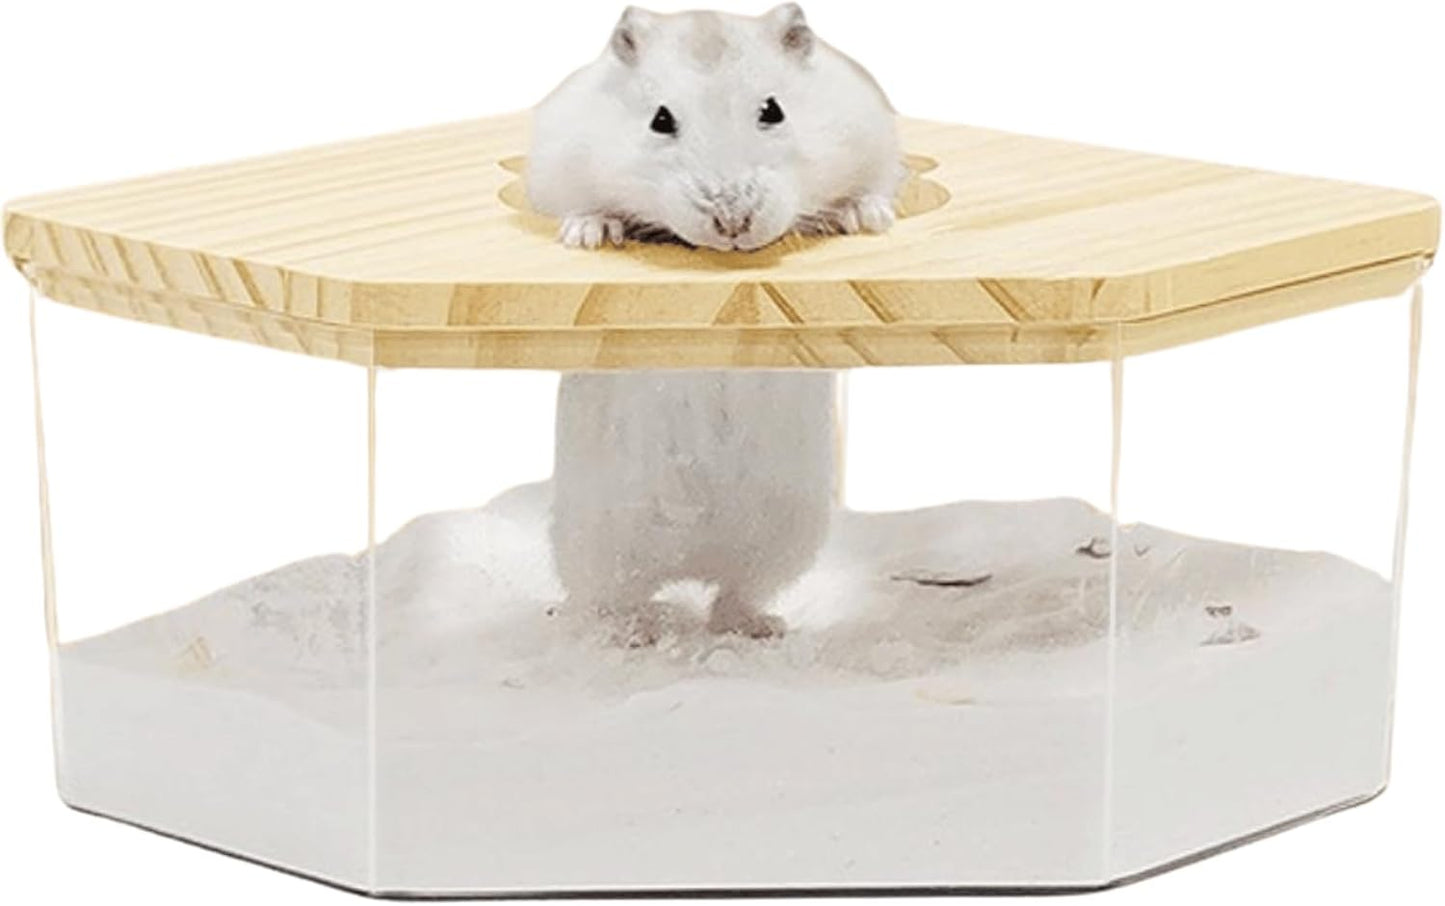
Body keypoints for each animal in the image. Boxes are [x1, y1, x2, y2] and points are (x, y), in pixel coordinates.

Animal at [526, 4, 904, 250]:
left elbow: (870, 190)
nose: (733, 224)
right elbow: (584, 207)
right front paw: (589, 236)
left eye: (773, 111)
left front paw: (868, 220)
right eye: (660, 120)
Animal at [551, 371, 838, 645]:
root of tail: (696, 559)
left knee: (733, 599)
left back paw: (761, 626)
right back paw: (637, 634)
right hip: (609, 544)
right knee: (616, 602)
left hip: (783, 541)